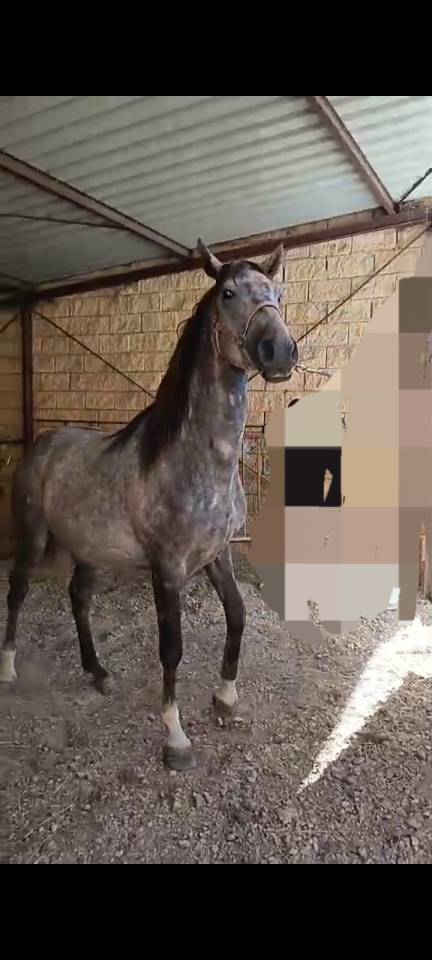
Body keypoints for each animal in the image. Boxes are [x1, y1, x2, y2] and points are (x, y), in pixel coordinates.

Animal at [0, 240, 298, 771]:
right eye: (228, 293)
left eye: (277, 294)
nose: (280, 351)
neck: (194, 459)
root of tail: (44, 444)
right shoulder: (168, 568)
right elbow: (172, 648)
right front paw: (175, 739)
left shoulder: (218, 556)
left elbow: (238, 614)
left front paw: (225, 700)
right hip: (32, 536)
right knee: (17, 593)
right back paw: (9, 669)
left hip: (88, 547)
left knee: (79, 598)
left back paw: (97, 672)